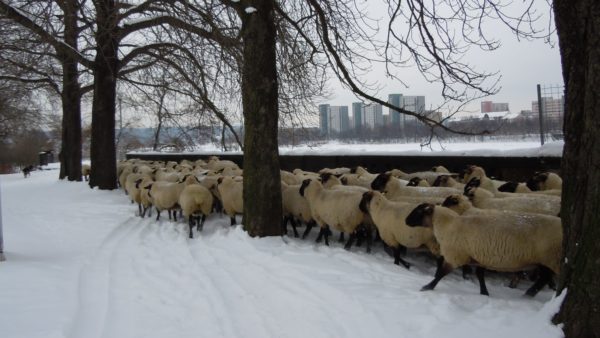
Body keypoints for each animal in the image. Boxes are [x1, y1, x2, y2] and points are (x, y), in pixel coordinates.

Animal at [404, 203, 564, 296]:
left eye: (418, 211)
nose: (405, 221)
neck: (448, 225)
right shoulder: (479, 257)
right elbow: (480, 276)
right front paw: (484, 292)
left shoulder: (455, 256)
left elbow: (440, 274)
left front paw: (427, 287)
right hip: (545, 261)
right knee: (544, 278)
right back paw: (529, 294)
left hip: (552, 258)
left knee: (546, 278)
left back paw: (529, 294)